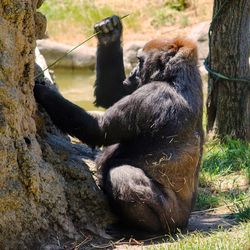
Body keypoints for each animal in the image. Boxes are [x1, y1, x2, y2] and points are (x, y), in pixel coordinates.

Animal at [34, 15, 203, 236]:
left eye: (140, 61)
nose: (132, 74)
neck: (175, 76)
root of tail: (185, 221)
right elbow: (113, 94)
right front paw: (110, 33)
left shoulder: (152, 96)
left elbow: (99, 130)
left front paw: (44, 92)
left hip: (172, 219)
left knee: (122, 175)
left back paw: (141, 228)